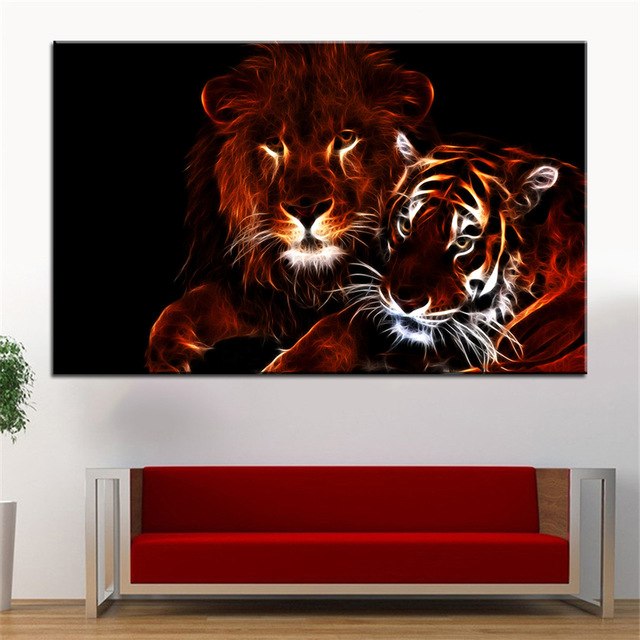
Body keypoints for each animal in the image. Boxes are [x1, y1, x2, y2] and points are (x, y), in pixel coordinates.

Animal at [146, 43, 435, 372]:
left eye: (346, 139)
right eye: (274, 143)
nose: (306, 211)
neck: (314, 280)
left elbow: (337, 329)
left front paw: (287, 367)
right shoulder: (257, 293)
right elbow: (188, 305)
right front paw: (166, 353)